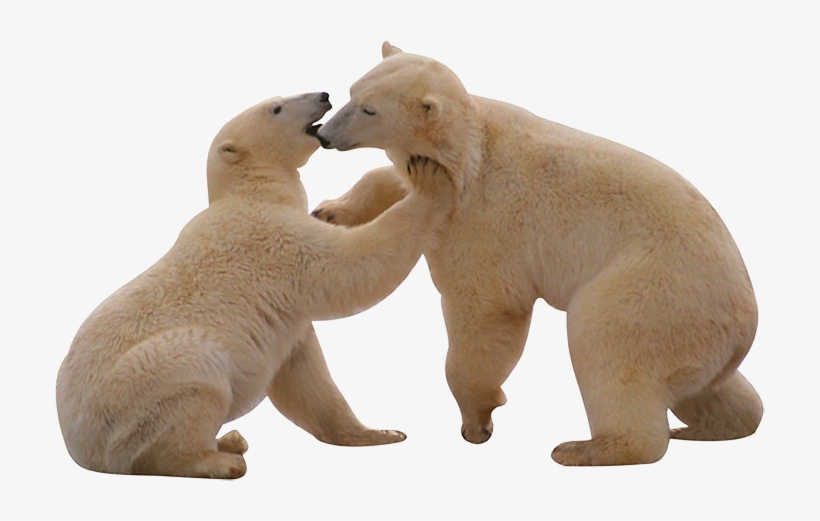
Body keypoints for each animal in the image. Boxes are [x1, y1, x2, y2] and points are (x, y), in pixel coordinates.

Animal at [55, 92, 455, 478]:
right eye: (276, 108)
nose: (323, 95)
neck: (250, 192)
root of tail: (79, 448)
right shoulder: (272, 238)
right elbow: (351, 266)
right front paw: (428, 180)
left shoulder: (287, 317)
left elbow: (306, 377)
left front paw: (379, 433)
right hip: (140, 390)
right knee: (194, 376)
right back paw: (220, 460)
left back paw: (230, 441)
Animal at [312, 43, 763, 466]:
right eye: (351, 92)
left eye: (369, 109)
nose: (323, 134)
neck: (468, 149)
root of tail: (746, 325)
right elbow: (395, 184)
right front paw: (329, 210)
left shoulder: (484, 219)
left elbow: (485, 310)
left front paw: (478, 419)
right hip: (700, 339)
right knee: (705, 386)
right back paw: (708, 428)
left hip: (656, 292)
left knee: (607, 348)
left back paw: (586, 449)